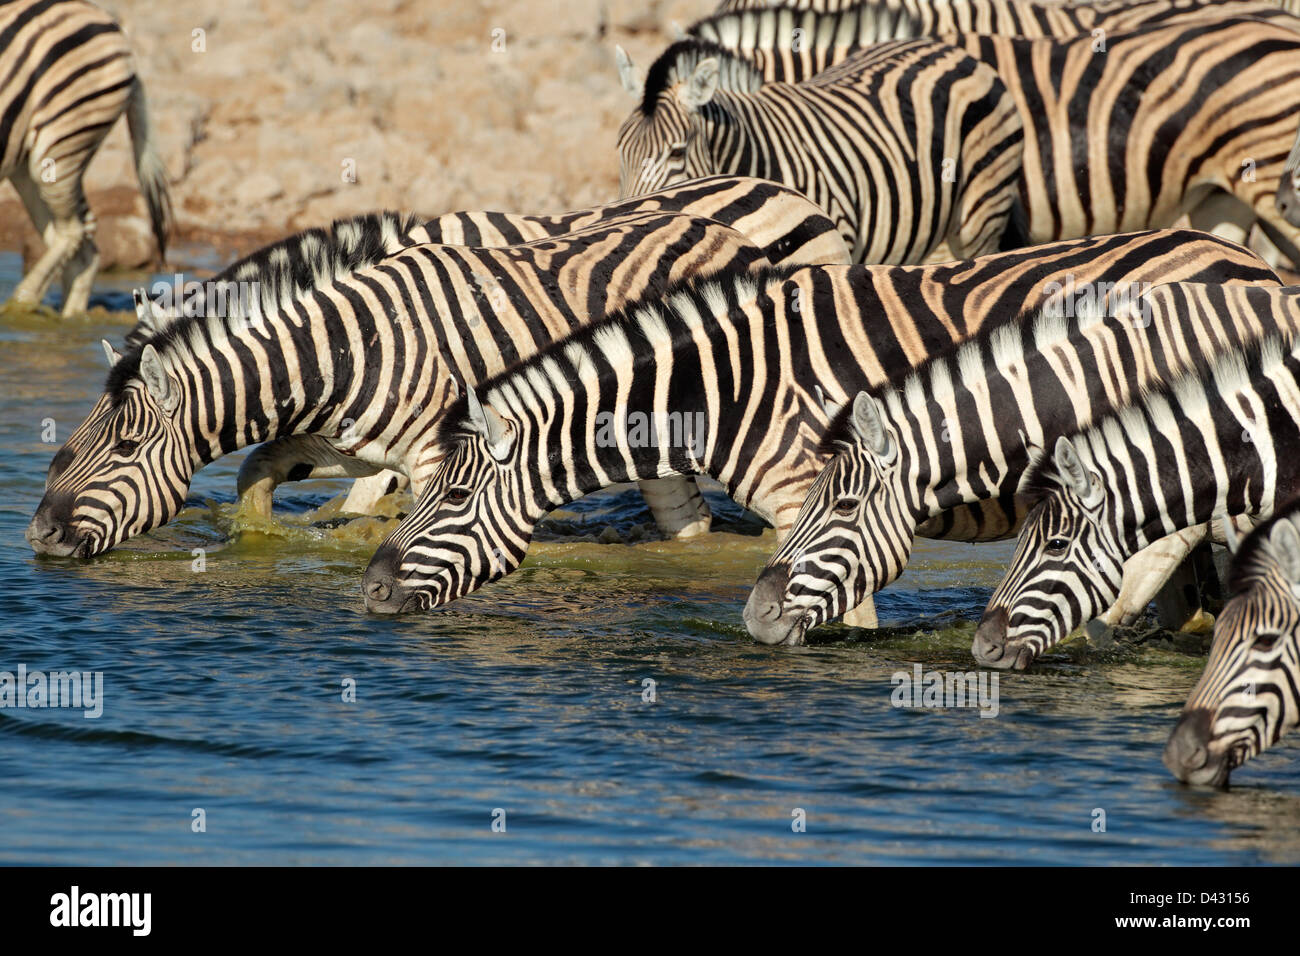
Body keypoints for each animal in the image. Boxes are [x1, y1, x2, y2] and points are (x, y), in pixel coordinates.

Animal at [2, 0, 171, 316]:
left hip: (61, 139)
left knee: (73, 233)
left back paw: (21, 304)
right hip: (29, 161)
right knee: (80, 250)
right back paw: (67, 317)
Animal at [25, 205, 838, 563]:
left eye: (124, 449)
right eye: (73, 445)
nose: (37, 537)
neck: (347, 350)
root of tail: (729, 236)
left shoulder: (432, 457)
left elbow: (401, 519)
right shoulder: (336, 445)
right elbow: (256, 482)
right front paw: (269, 541)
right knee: (688, 525)